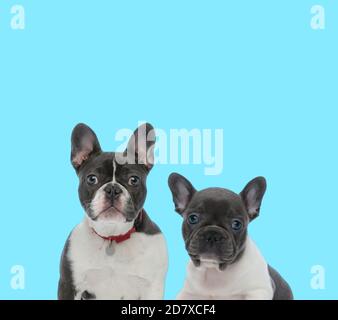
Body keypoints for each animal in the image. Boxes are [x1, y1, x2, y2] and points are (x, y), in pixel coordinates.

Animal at [59, 122, 169, 300]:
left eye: (133, 180)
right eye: (92, 179)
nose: (112, 189)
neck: (112, 235)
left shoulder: (153, 287)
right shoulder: (69, 286)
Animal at [168, 172, 294, 300]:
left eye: (236, 224)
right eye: (193, 218)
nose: (212, 234)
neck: (213, 270)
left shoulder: (259, 290)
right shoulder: (186, 293)